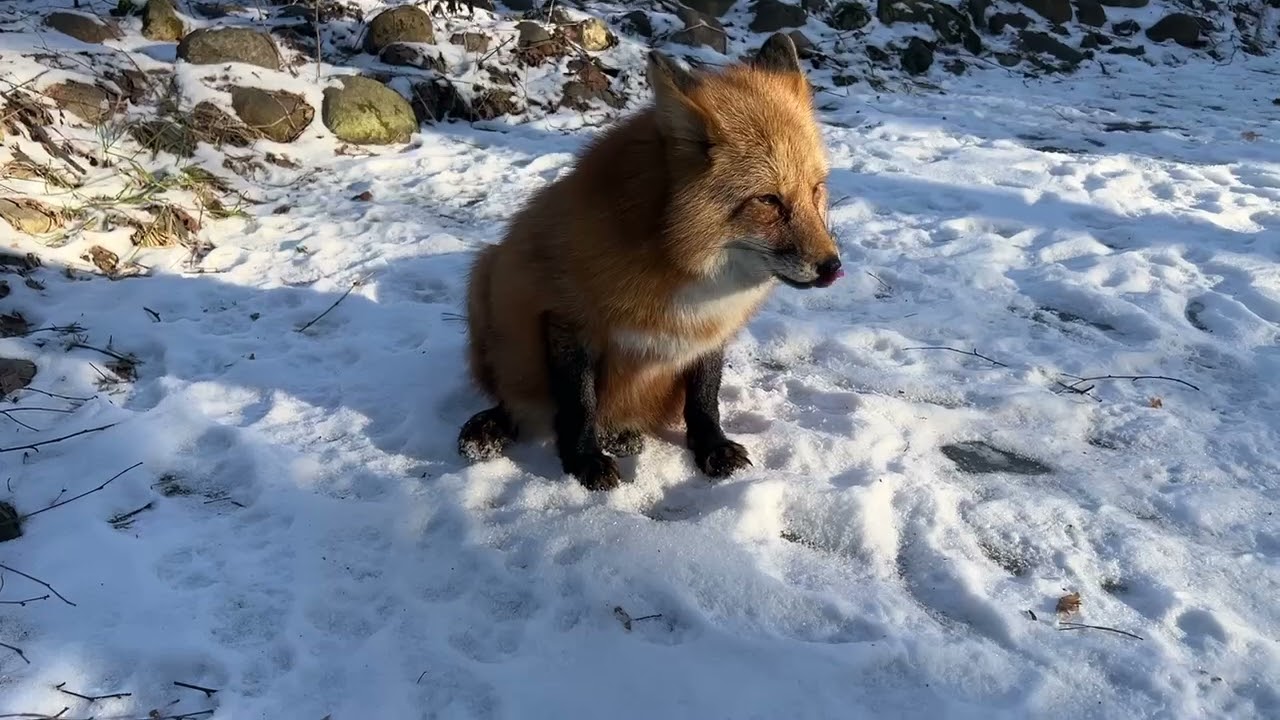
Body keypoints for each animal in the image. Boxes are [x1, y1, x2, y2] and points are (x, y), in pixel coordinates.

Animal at [456, 32, 843, 490]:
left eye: (816, 191)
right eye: (768, 200)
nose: (833, 267)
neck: (681, 267)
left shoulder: (709, 334)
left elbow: (704, 397)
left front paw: (711, 447)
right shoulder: (565, 316)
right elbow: (578, 403)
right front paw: (584, 459)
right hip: (486, 276)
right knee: (514, 398)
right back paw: (495, 425)